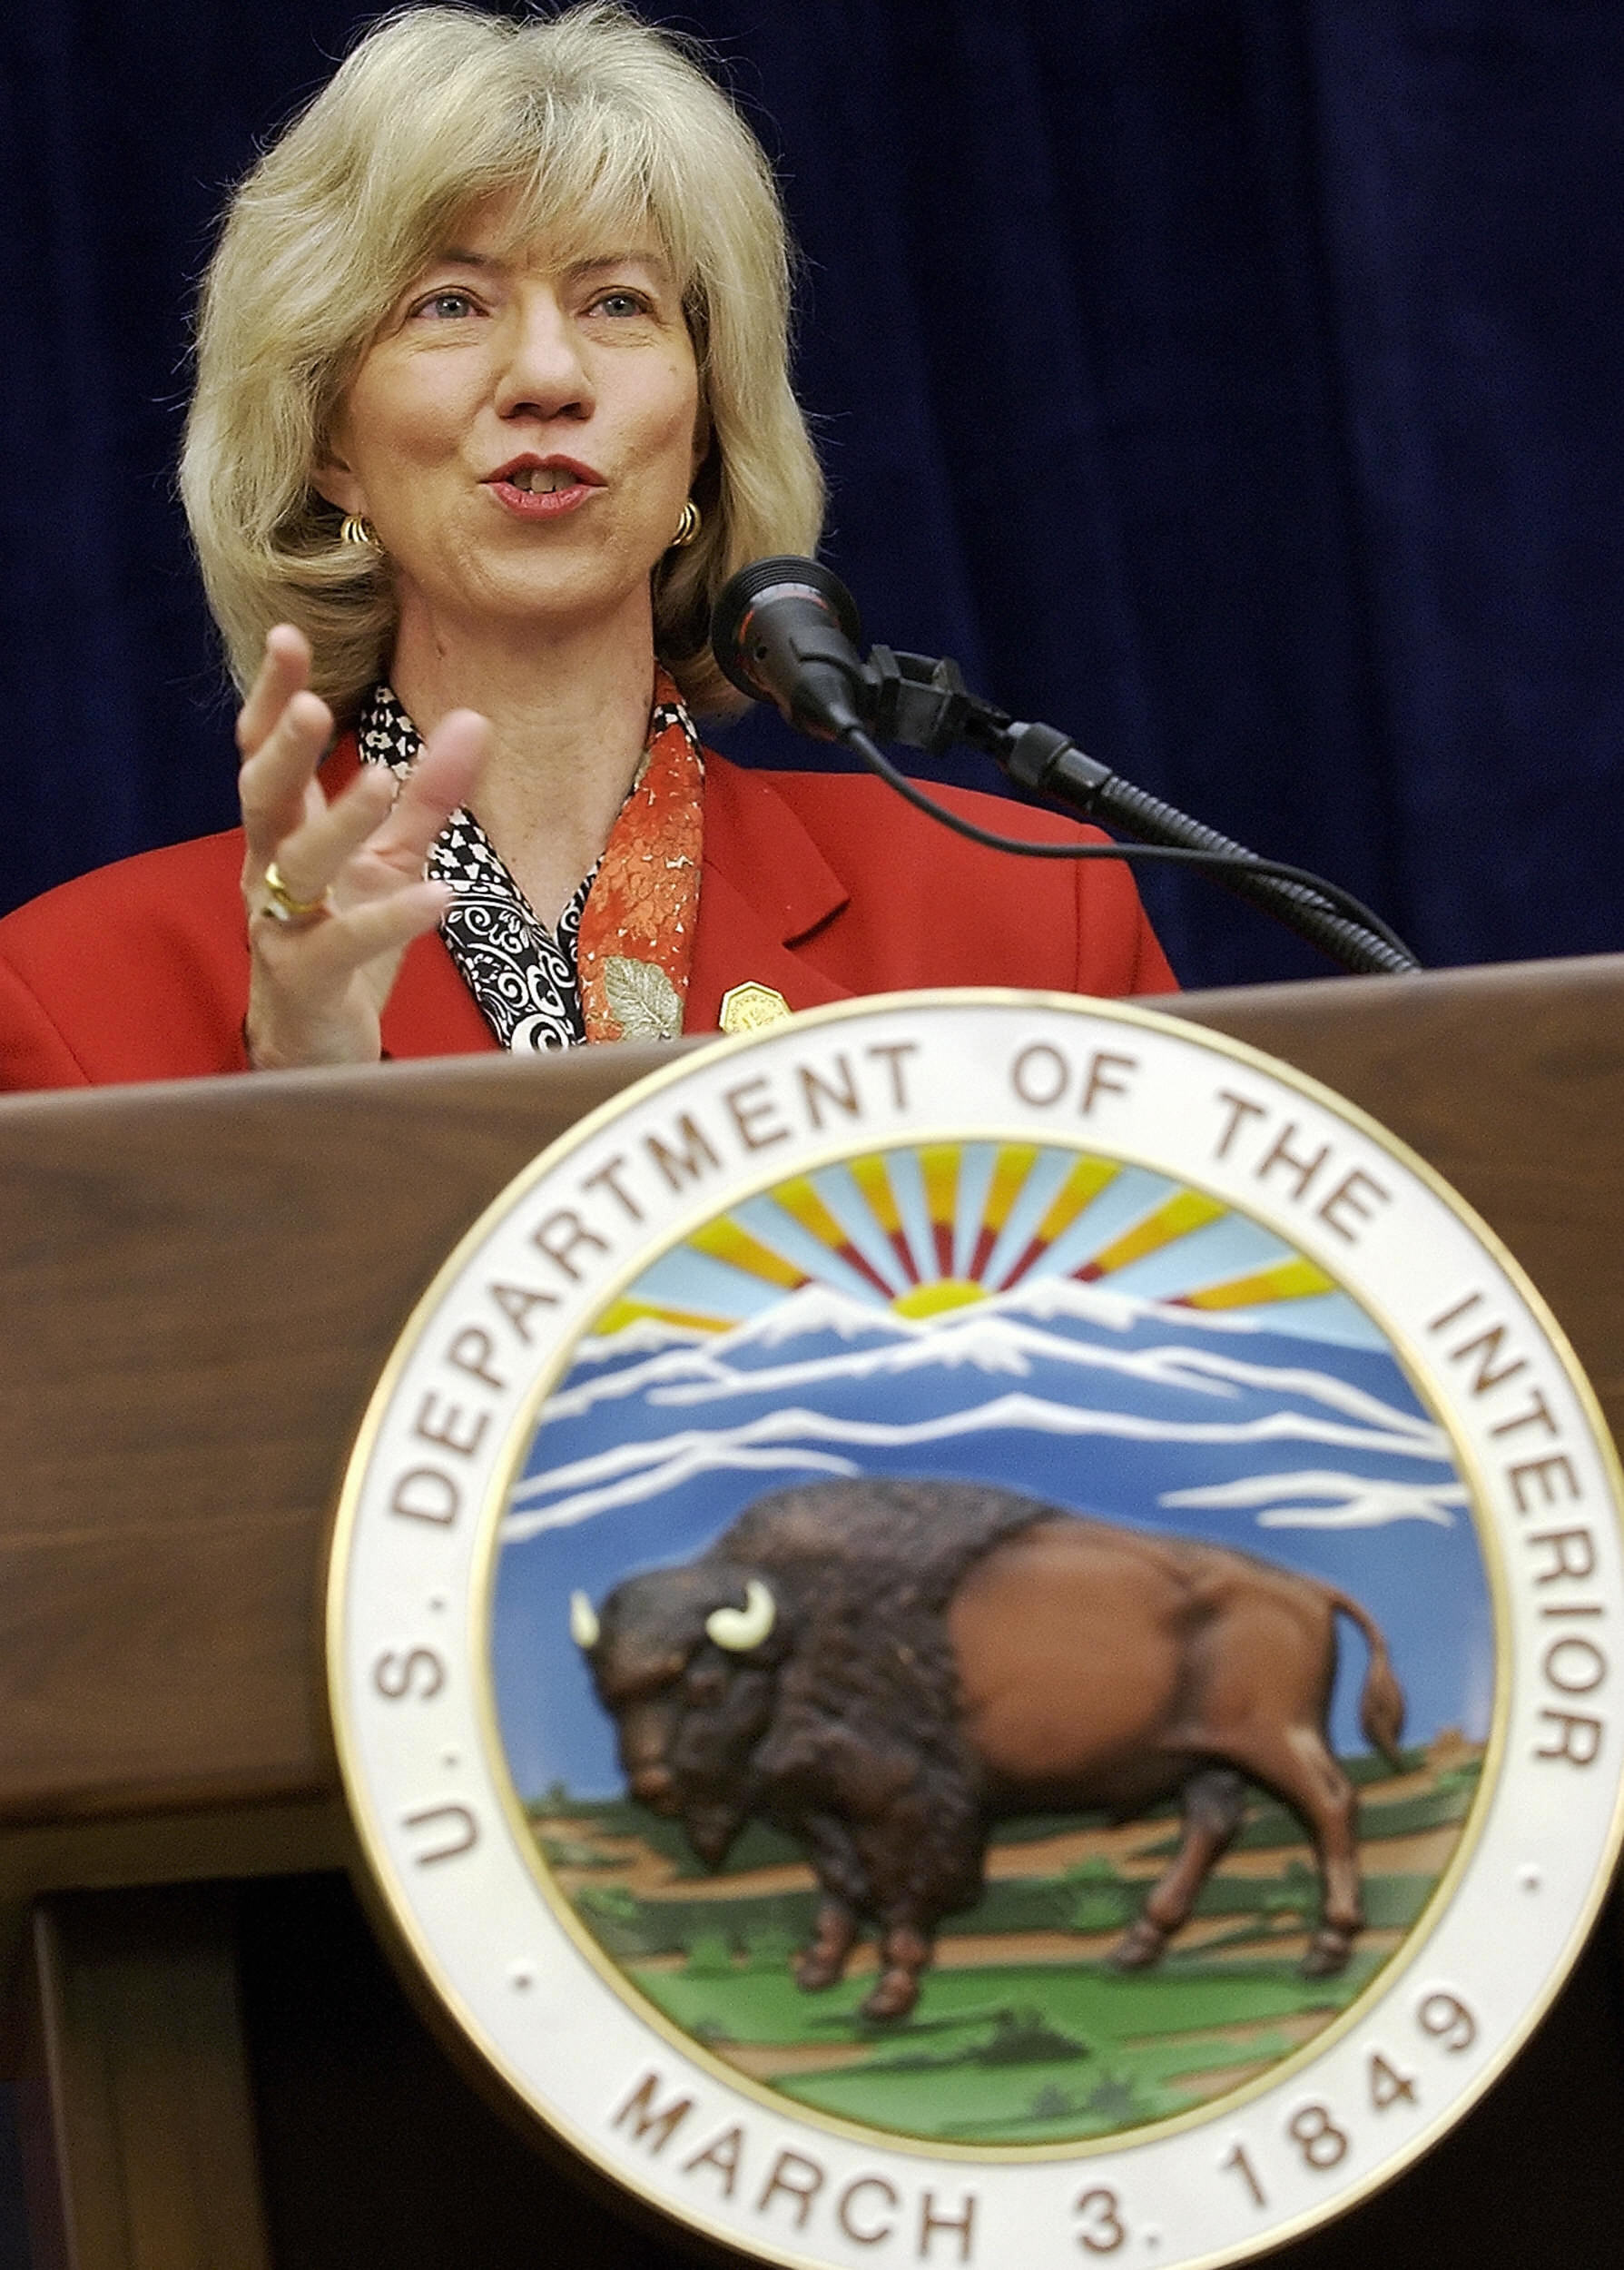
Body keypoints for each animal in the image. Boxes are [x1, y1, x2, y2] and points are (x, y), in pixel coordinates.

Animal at [574, 1480, 1406, 2016]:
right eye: (607, 1692)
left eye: (705, 1684)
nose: (648, 1787)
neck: (798, 1625)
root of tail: (1310, 1591)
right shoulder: (817, 1806)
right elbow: (840, 1882)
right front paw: (815, 1971)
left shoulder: (902, 1801)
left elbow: (903, 1889)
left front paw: (887, 1995)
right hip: (1205, 1760)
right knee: (1210, 1825)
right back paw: (1133, 1950)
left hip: (1274, 1741)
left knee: (1331, 1803)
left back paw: (1325, 1950)